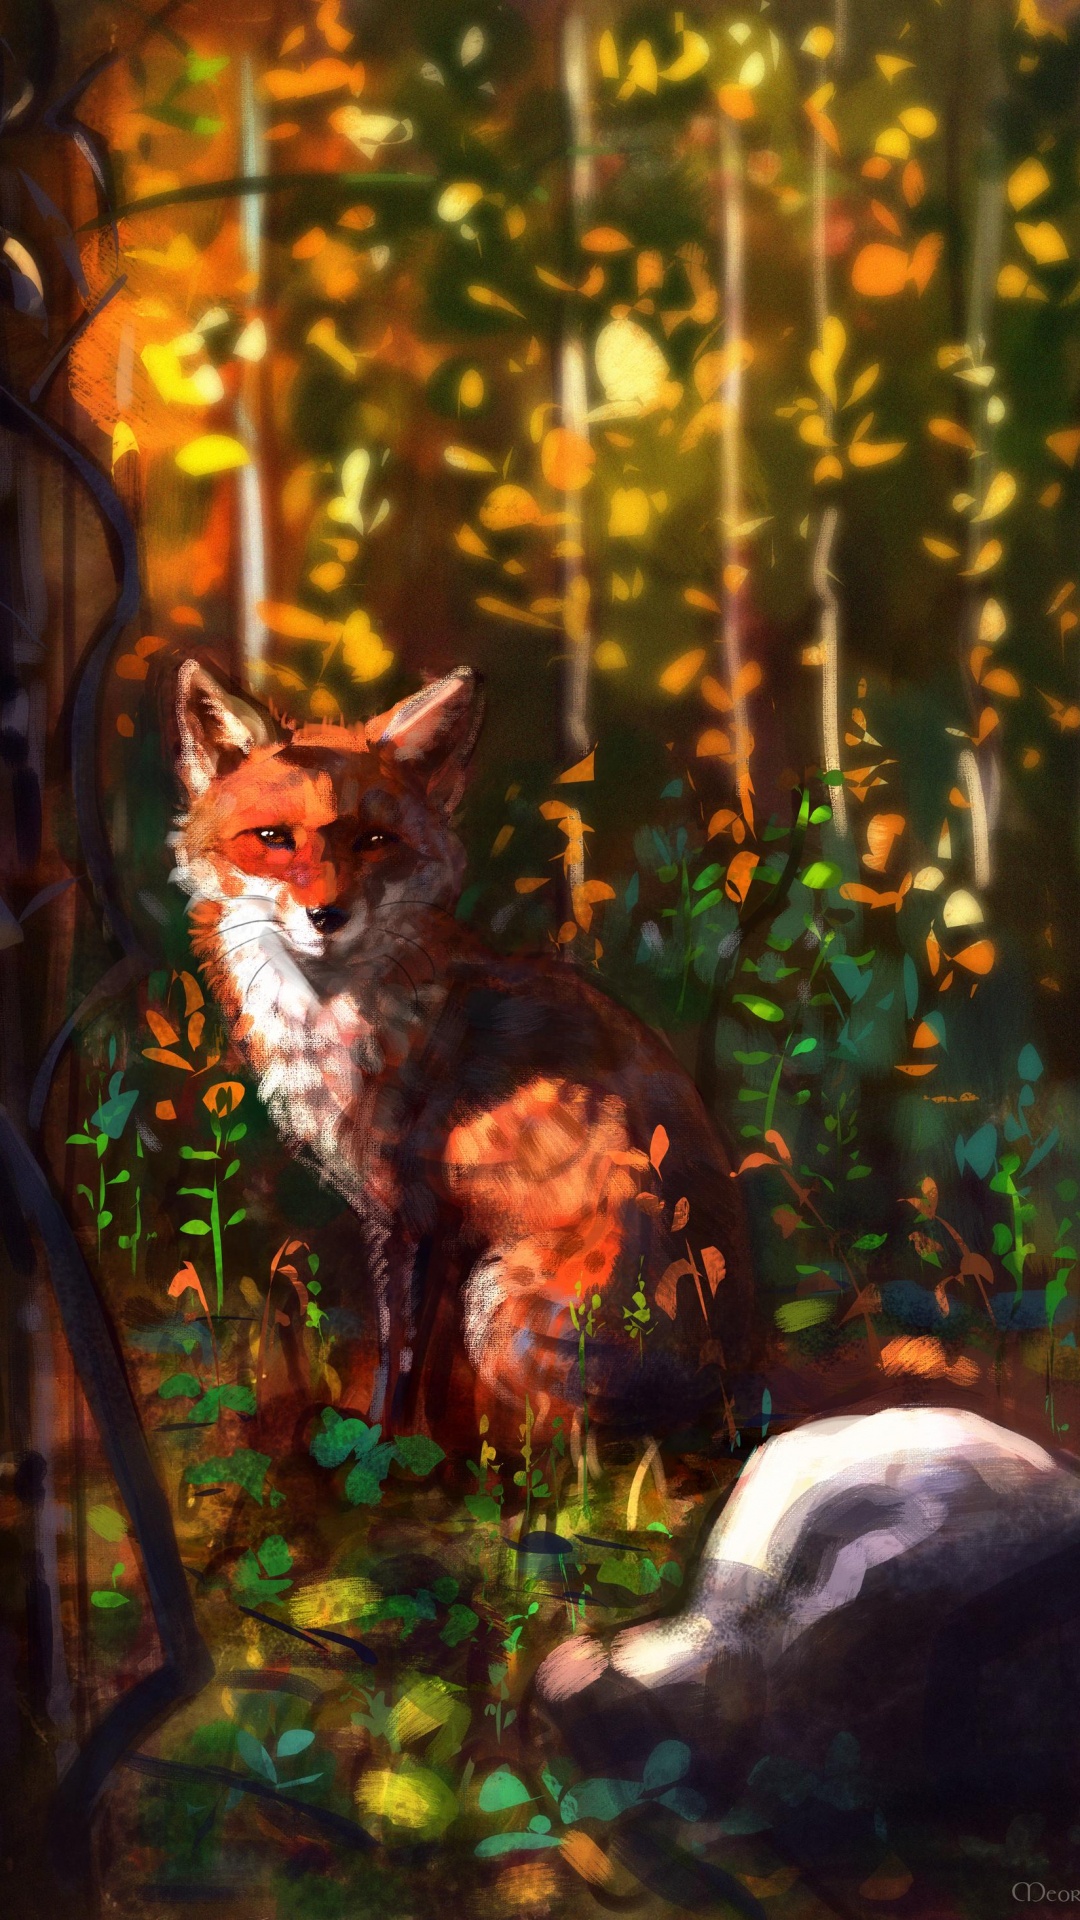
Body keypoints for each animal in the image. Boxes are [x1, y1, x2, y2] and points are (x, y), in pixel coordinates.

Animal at [170, 657, 755, 1445]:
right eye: (273, 837)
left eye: (374, 841)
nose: (328, 915)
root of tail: (737, 1387)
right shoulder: (431, 1228)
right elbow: (422, 1358)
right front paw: (415, 1441)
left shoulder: (411, 1213)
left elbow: (401, 1353)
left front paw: (383, 1446)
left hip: (501, 1298)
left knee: (586, 1446)